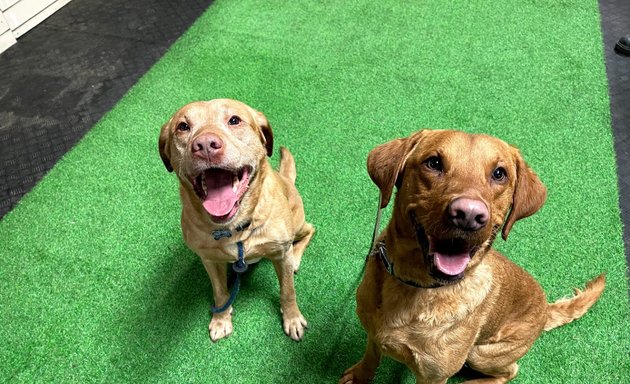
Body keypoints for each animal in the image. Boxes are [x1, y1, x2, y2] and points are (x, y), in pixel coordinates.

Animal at [159, 99, 314, 342]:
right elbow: (220, 293)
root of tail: (286, 178)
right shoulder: (209, 260)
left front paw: (292, 318)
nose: (205, 145)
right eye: (183, 126)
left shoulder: (280, 254)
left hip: (297, 224)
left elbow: (288, 291)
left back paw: (296, 258)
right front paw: (221, 319)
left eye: (234, 120)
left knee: (310, 230)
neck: (236, 228)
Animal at [340, 130, 608, 384]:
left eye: (499, 174)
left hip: (481, 353)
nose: (468, 215)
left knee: (511, 371)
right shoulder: (373, 333)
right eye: (433, 163)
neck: (414, 285)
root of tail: (545, 310)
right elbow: (371, 355)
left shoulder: (433, 376)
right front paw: (360, 375)